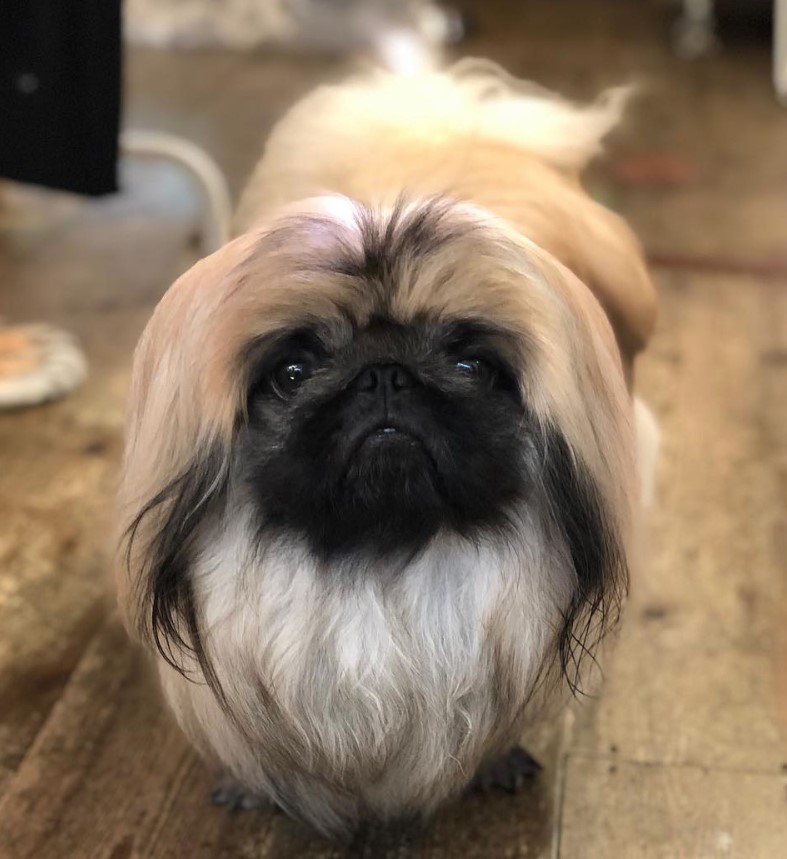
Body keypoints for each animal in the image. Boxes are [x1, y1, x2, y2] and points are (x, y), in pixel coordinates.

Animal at [117, 60, 660, 840]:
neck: (379, 564)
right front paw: (248, 784)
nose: (384, 375)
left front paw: (495, 759)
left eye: (470, 365)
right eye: (292, 372)